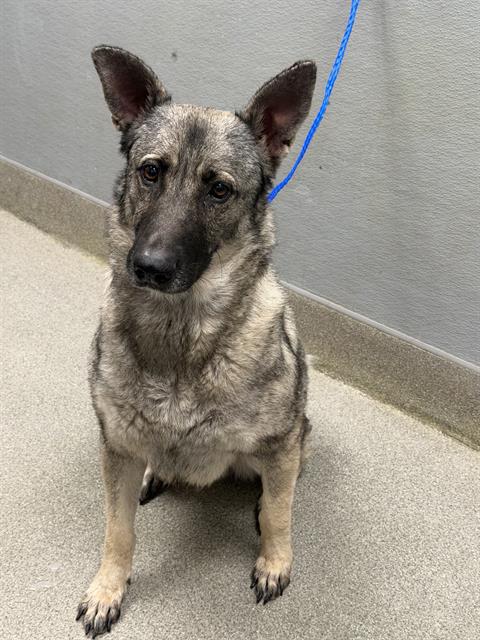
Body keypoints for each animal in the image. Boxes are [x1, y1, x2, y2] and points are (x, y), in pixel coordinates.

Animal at [76, 45, 316, 637]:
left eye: (219, 189)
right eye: (150, 171)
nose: (149, 267)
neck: (179, 334)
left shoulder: (279, 444)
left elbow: (279, 514)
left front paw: (275, 561)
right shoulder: (116, 448)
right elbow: (118, 531)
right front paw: (108, 587)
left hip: (292, 438)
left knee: (278, 489)